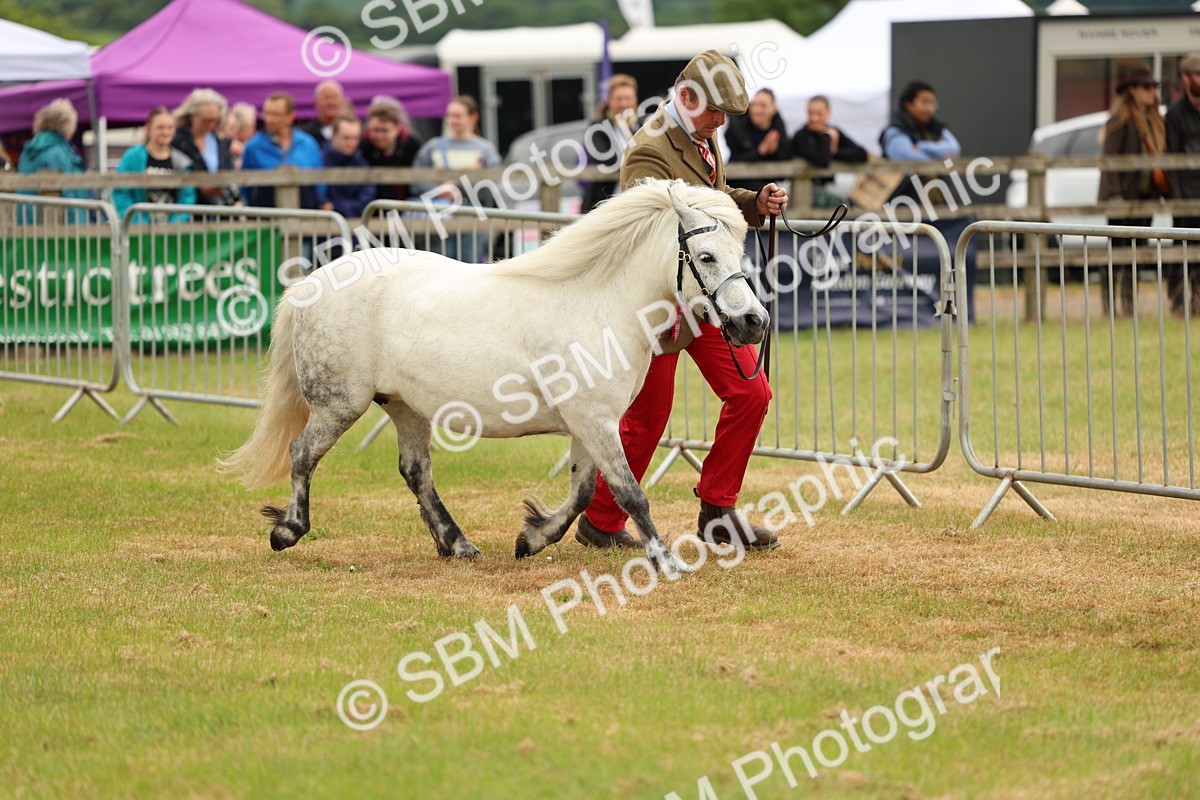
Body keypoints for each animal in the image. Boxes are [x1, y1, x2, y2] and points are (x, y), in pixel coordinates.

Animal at [218, 179, 769, 573]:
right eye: (705, 256)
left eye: (741, 251)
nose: (754, 323)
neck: (595, 302)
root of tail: (308, 284)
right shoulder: (595, 421)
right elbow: (630, 491)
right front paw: (665, 560)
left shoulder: (589, 424)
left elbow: (583, 490)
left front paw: (532, 539)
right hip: (339, 404)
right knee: (302, 453)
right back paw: (288, 530)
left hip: (404, 406)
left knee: (416, 472)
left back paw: (457, 544)